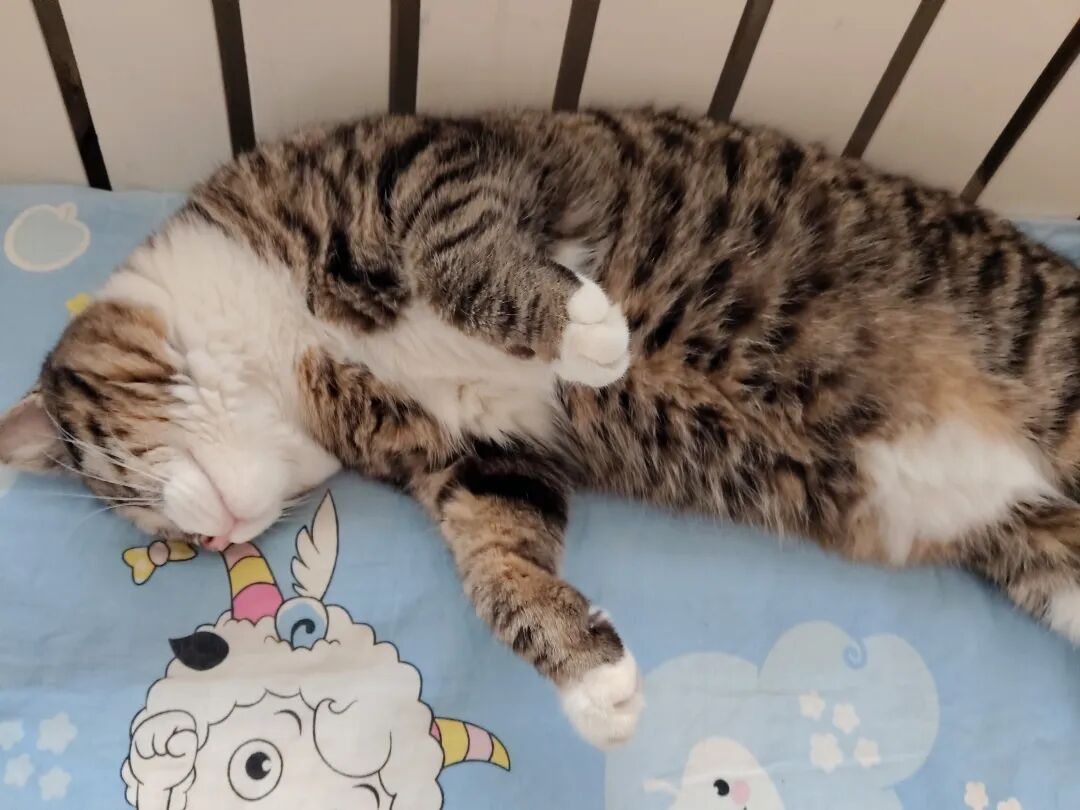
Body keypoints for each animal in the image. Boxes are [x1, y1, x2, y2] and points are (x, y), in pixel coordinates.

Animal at [2, 109, 1079, 748]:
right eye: (173, 542)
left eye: (129, 494)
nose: (218, 537)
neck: (287, 345)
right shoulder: (482, 457)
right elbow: (500, 560)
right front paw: (590, 675)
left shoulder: (427, 159)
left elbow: (455, 251)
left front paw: (583, 330)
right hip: (1042, 555)